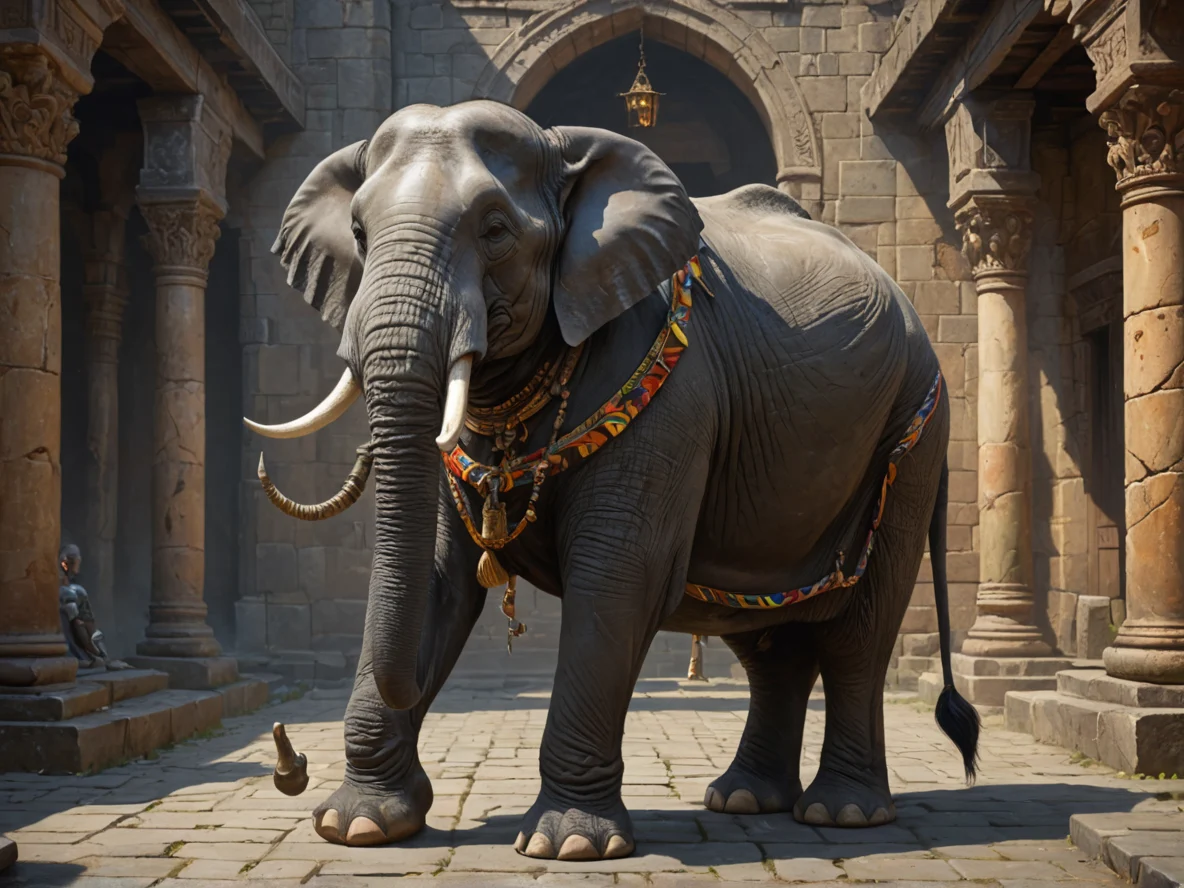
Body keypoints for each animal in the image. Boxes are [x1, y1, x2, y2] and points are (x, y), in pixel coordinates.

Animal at [244, 99, 980, 861]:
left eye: (496, 230)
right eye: (359, 233)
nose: (289, 763)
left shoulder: (672, 393)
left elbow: (619, 574)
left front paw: (568, 844)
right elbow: (437, 578)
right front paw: (357, 827)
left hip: (914, 431)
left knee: (858, 635)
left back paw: (841, 814)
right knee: (765, 642)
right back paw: (744, 800)